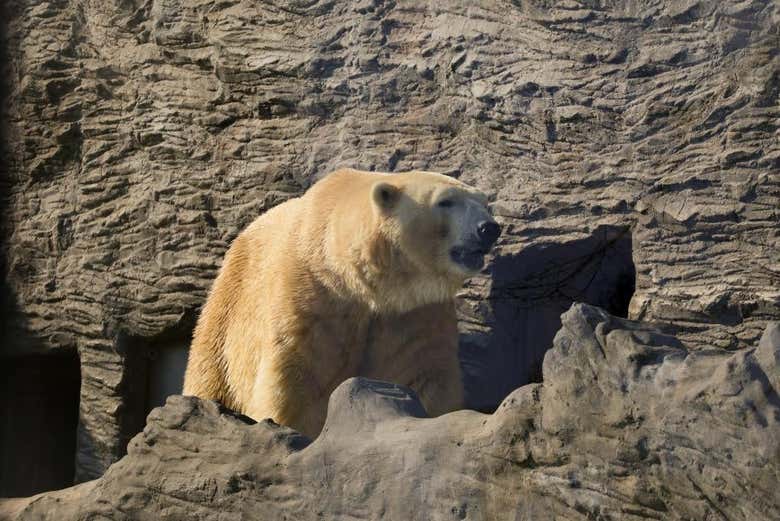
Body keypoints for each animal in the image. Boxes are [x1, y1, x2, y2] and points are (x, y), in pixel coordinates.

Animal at [183, 168, 501, 438]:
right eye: (446, 201)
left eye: (486, 203)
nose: (489, 228)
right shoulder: (314, 297)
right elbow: (296, 379)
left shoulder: (415, 313)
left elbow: (423, 375)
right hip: (229, 308)